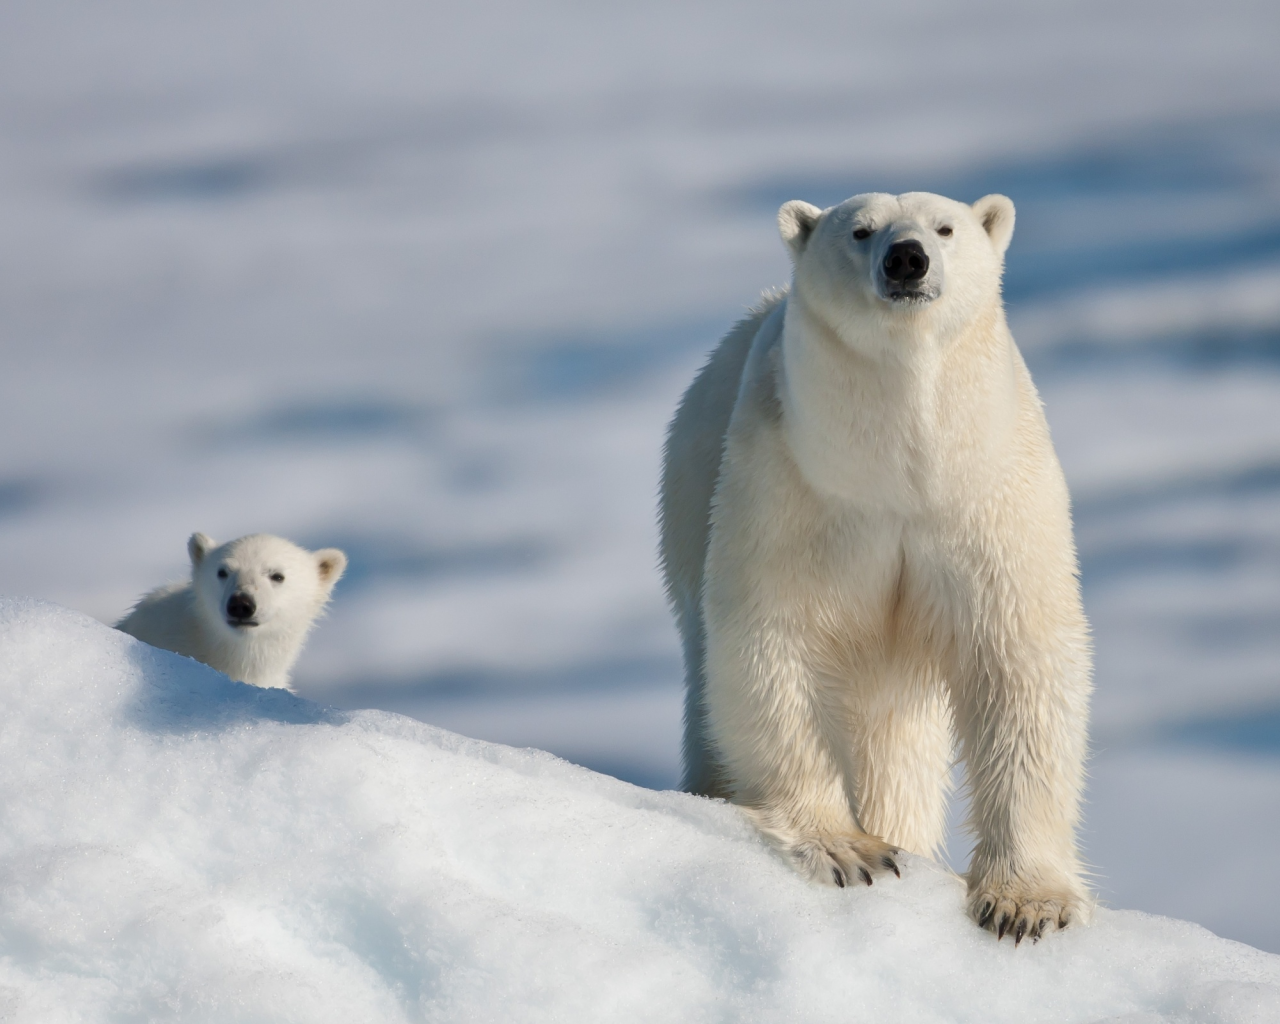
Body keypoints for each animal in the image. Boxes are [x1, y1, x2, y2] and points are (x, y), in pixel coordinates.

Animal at [660, 192, 1090, 942]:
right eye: (860, 231)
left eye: (945, 227)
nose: (907, 259)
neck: (901, 467)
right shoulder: (795, 486)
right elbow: (774, 643)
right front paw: (849, 850)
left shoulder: (987, 494)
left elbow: (1019, 660)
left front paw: (1024, 903)